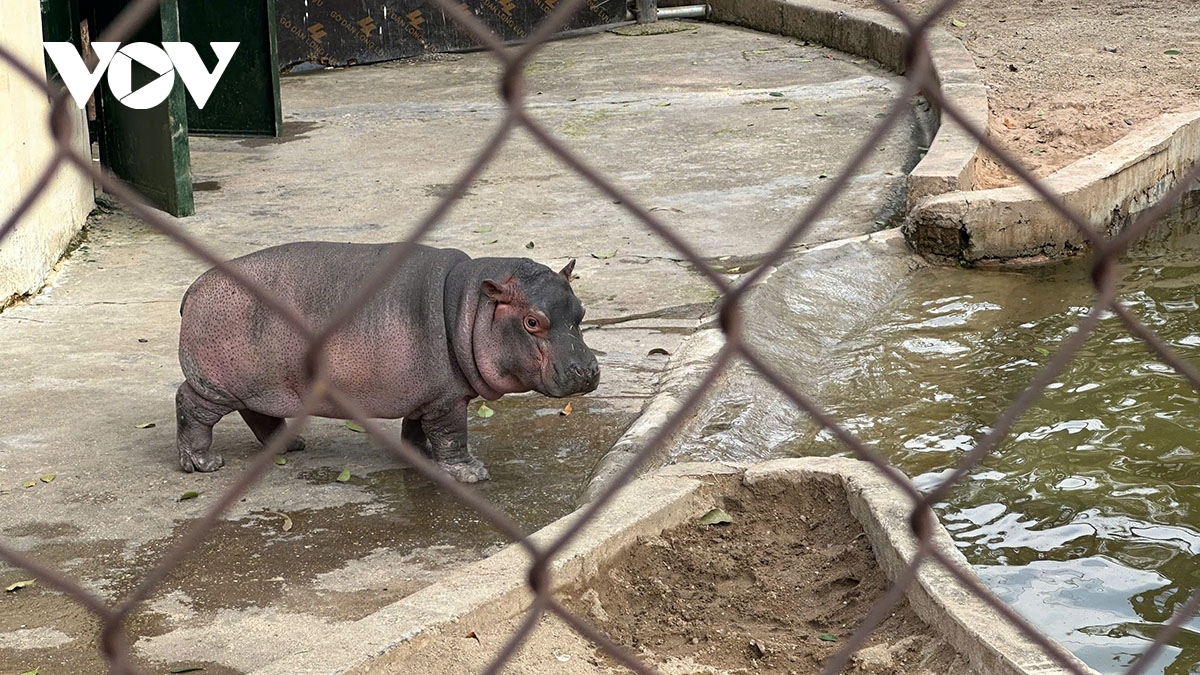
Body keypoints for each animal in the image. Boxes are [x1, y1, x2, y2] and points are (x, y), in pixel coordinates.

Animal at [175, 240, 600, 478]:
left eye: (580, 311)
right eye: (532, 321)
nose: (588, 370)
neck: (470, 306)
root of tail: (192, 287)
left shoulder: (427, 395)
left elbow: (417, 428)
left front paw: (419, 456)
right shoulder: (447, 399)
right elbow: (452, 435)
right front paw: (471, 473)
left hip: (260, 385)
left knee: (257, 413)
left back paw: (290, 445)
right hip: (216, 385)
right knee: (189, 405)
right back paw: (202, 464)